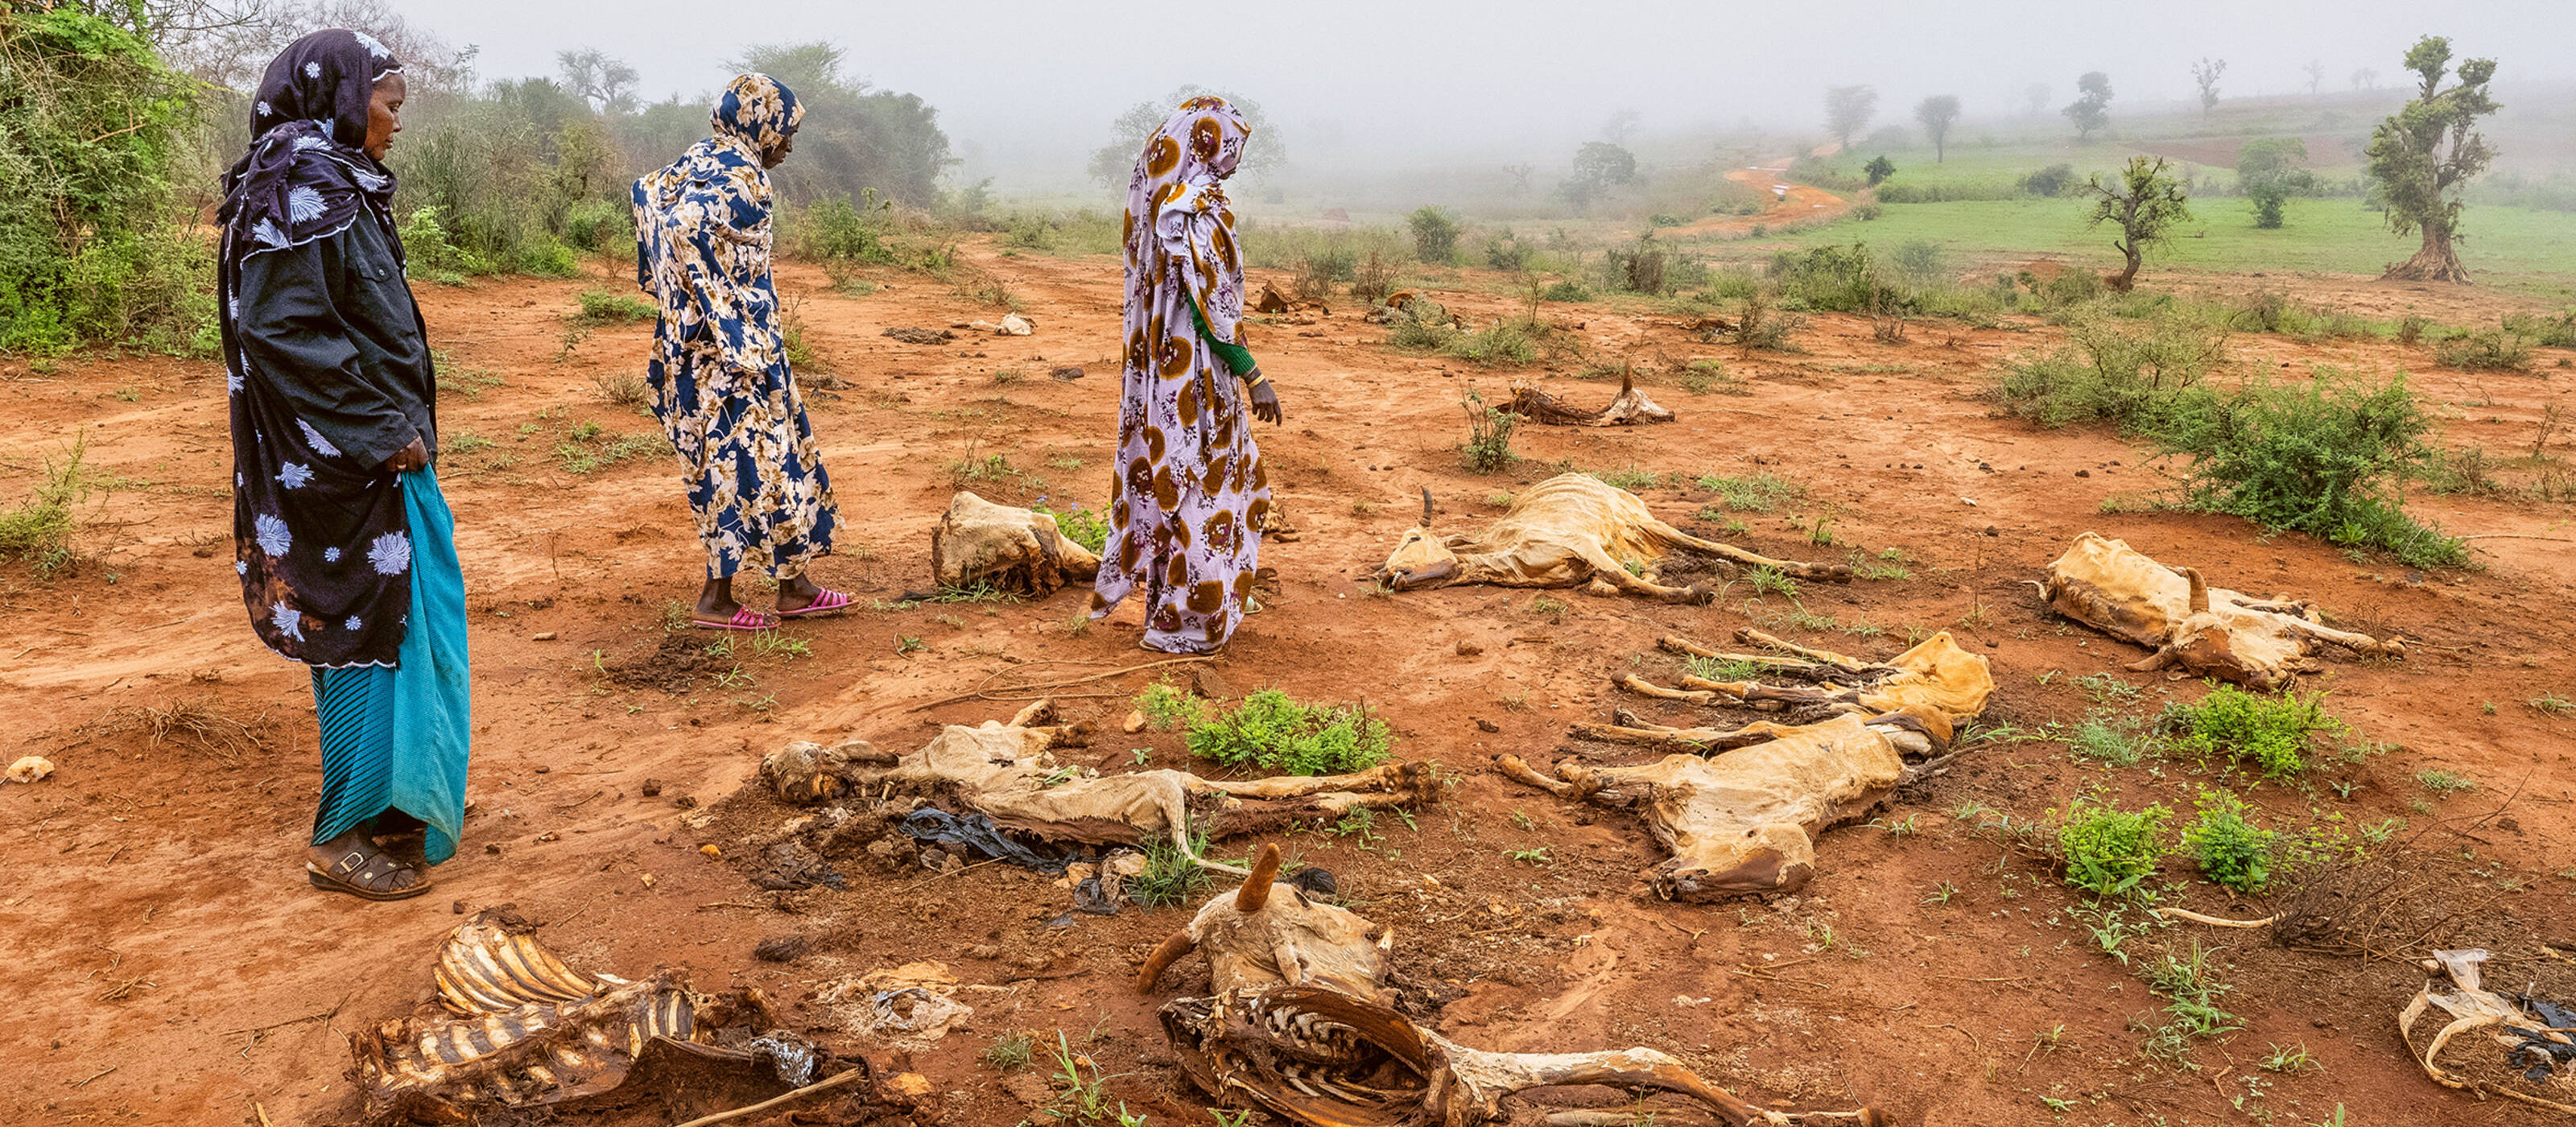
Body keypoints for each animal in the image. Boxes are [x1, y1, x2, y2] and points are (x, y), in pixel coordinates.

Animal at [762, 700, 1432, 874]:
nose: (770, 766)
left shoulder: (980, 744)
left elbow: (1022, 733)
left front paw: (1058, 719)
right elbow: (1015, 737)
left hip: (1190, 795)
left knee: (1287, 792)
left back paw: (1406, 778)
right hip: (1177, 792)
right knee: (1301, 798)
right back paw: (1405, 784)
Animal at [1370, 470, 1855, 601]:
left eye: (1413, 539)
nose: (1386, 574)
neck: (1503, 559)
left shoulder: (1582, 544)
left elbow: (1624, 578)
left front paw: (1689, 592)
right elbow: (1613, 582)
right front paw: (1670, 582)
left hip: (1643, 521)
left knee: (1717, 546)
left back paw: (1828, 570)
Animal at [2040, 532, 2401, 689]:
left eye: (2226, 632)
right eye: (2212, 671)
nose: (2270, 679)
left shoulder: (2275, 622)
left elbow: (2358, 639)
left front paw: (2393, 645)